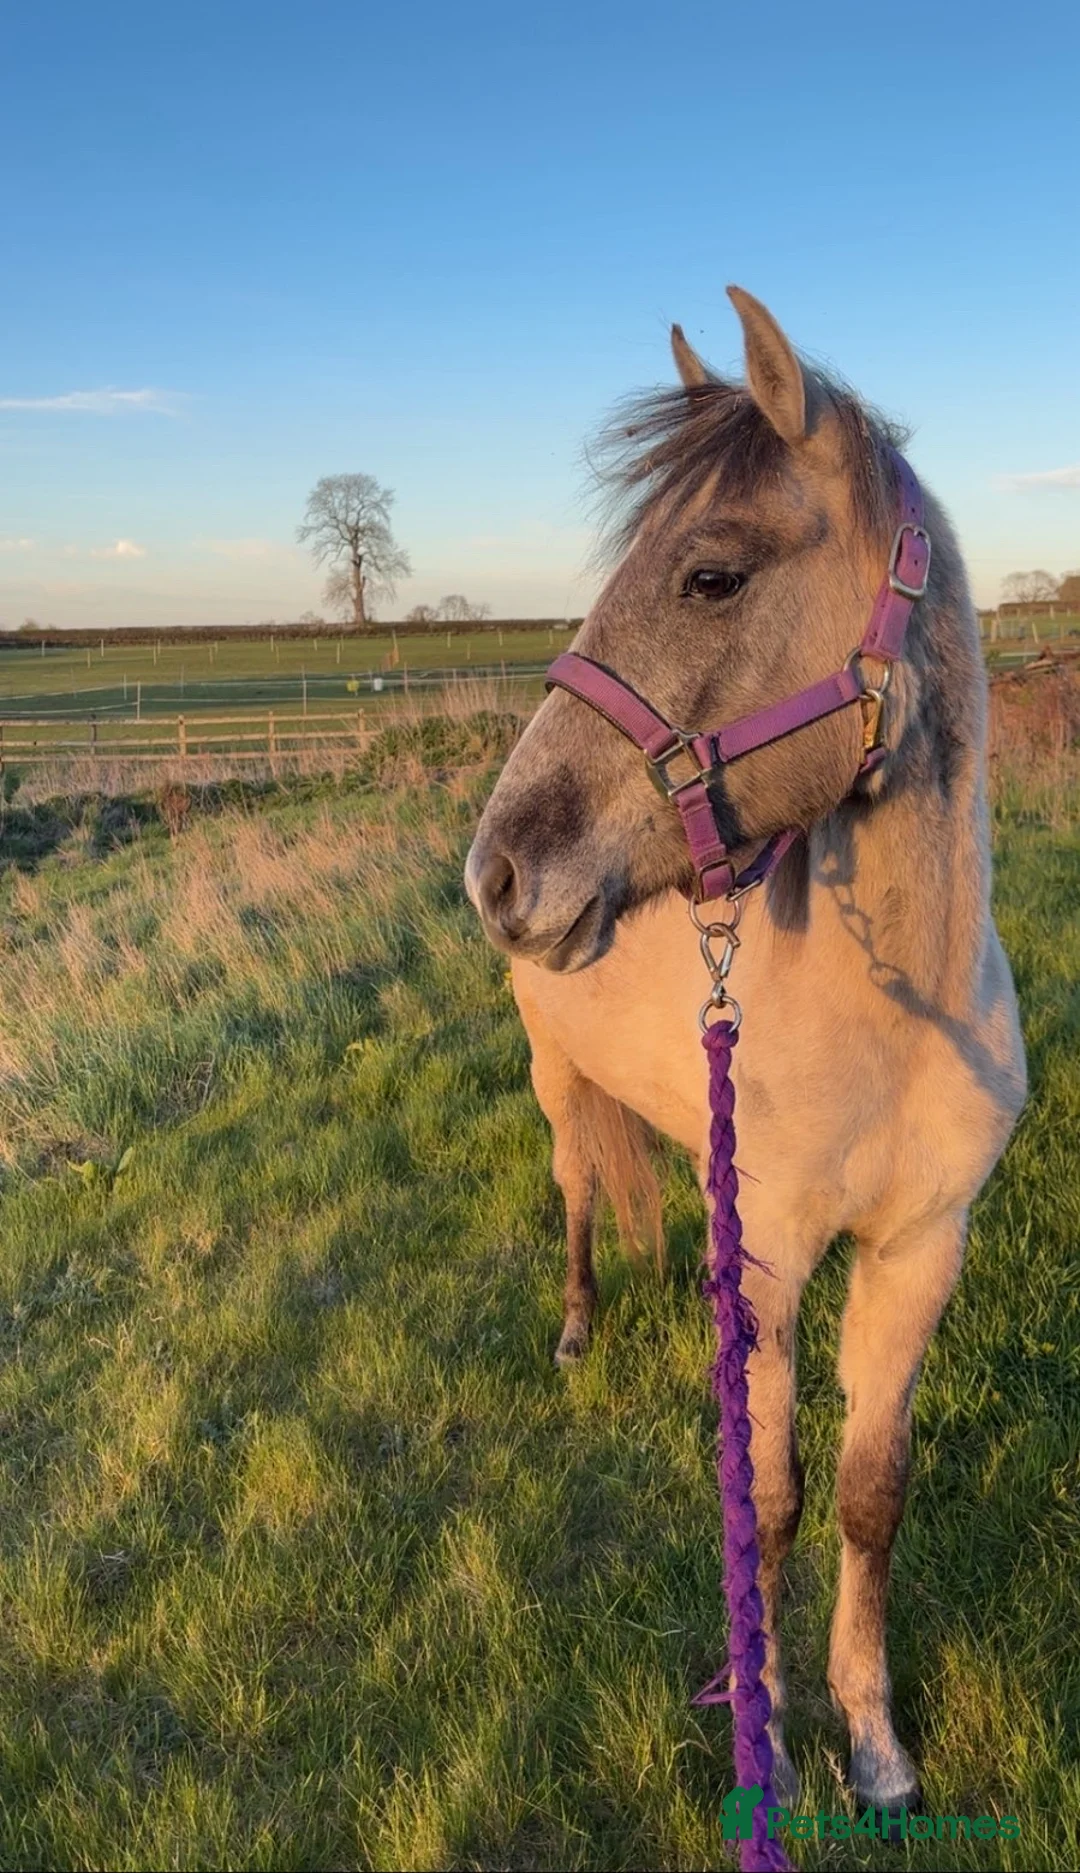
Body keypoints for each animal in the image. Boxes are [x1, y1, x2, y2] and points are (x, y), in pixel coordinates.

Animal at [464, 287, 1026, 1817]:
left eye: (711, 575)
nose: (498, 870)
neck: (900, 1016)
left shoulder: (923, 1248)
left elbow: (869, 1493)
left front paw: (877, 1746)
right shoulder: (774, 1260)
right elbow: (766, 1504)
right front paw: (767, 1730)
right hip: (555, 1085)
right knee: (579, 1190)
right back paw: (580, 1324)